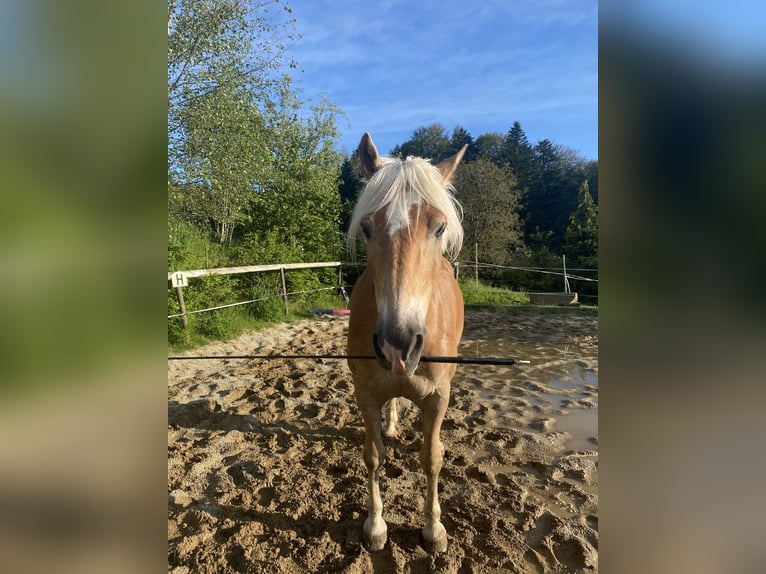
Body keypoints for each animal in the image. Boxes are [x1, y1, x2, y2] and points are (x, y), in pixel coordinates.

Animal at [348, 133, 468, 556]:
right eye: (367, 229)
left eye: (439, 227)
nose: (397, 345)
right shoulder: (365, 391)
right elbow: (372, 455)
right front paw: (375, 525)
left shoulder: (437, 396)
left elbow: (432, 459)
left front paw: (434, 530)